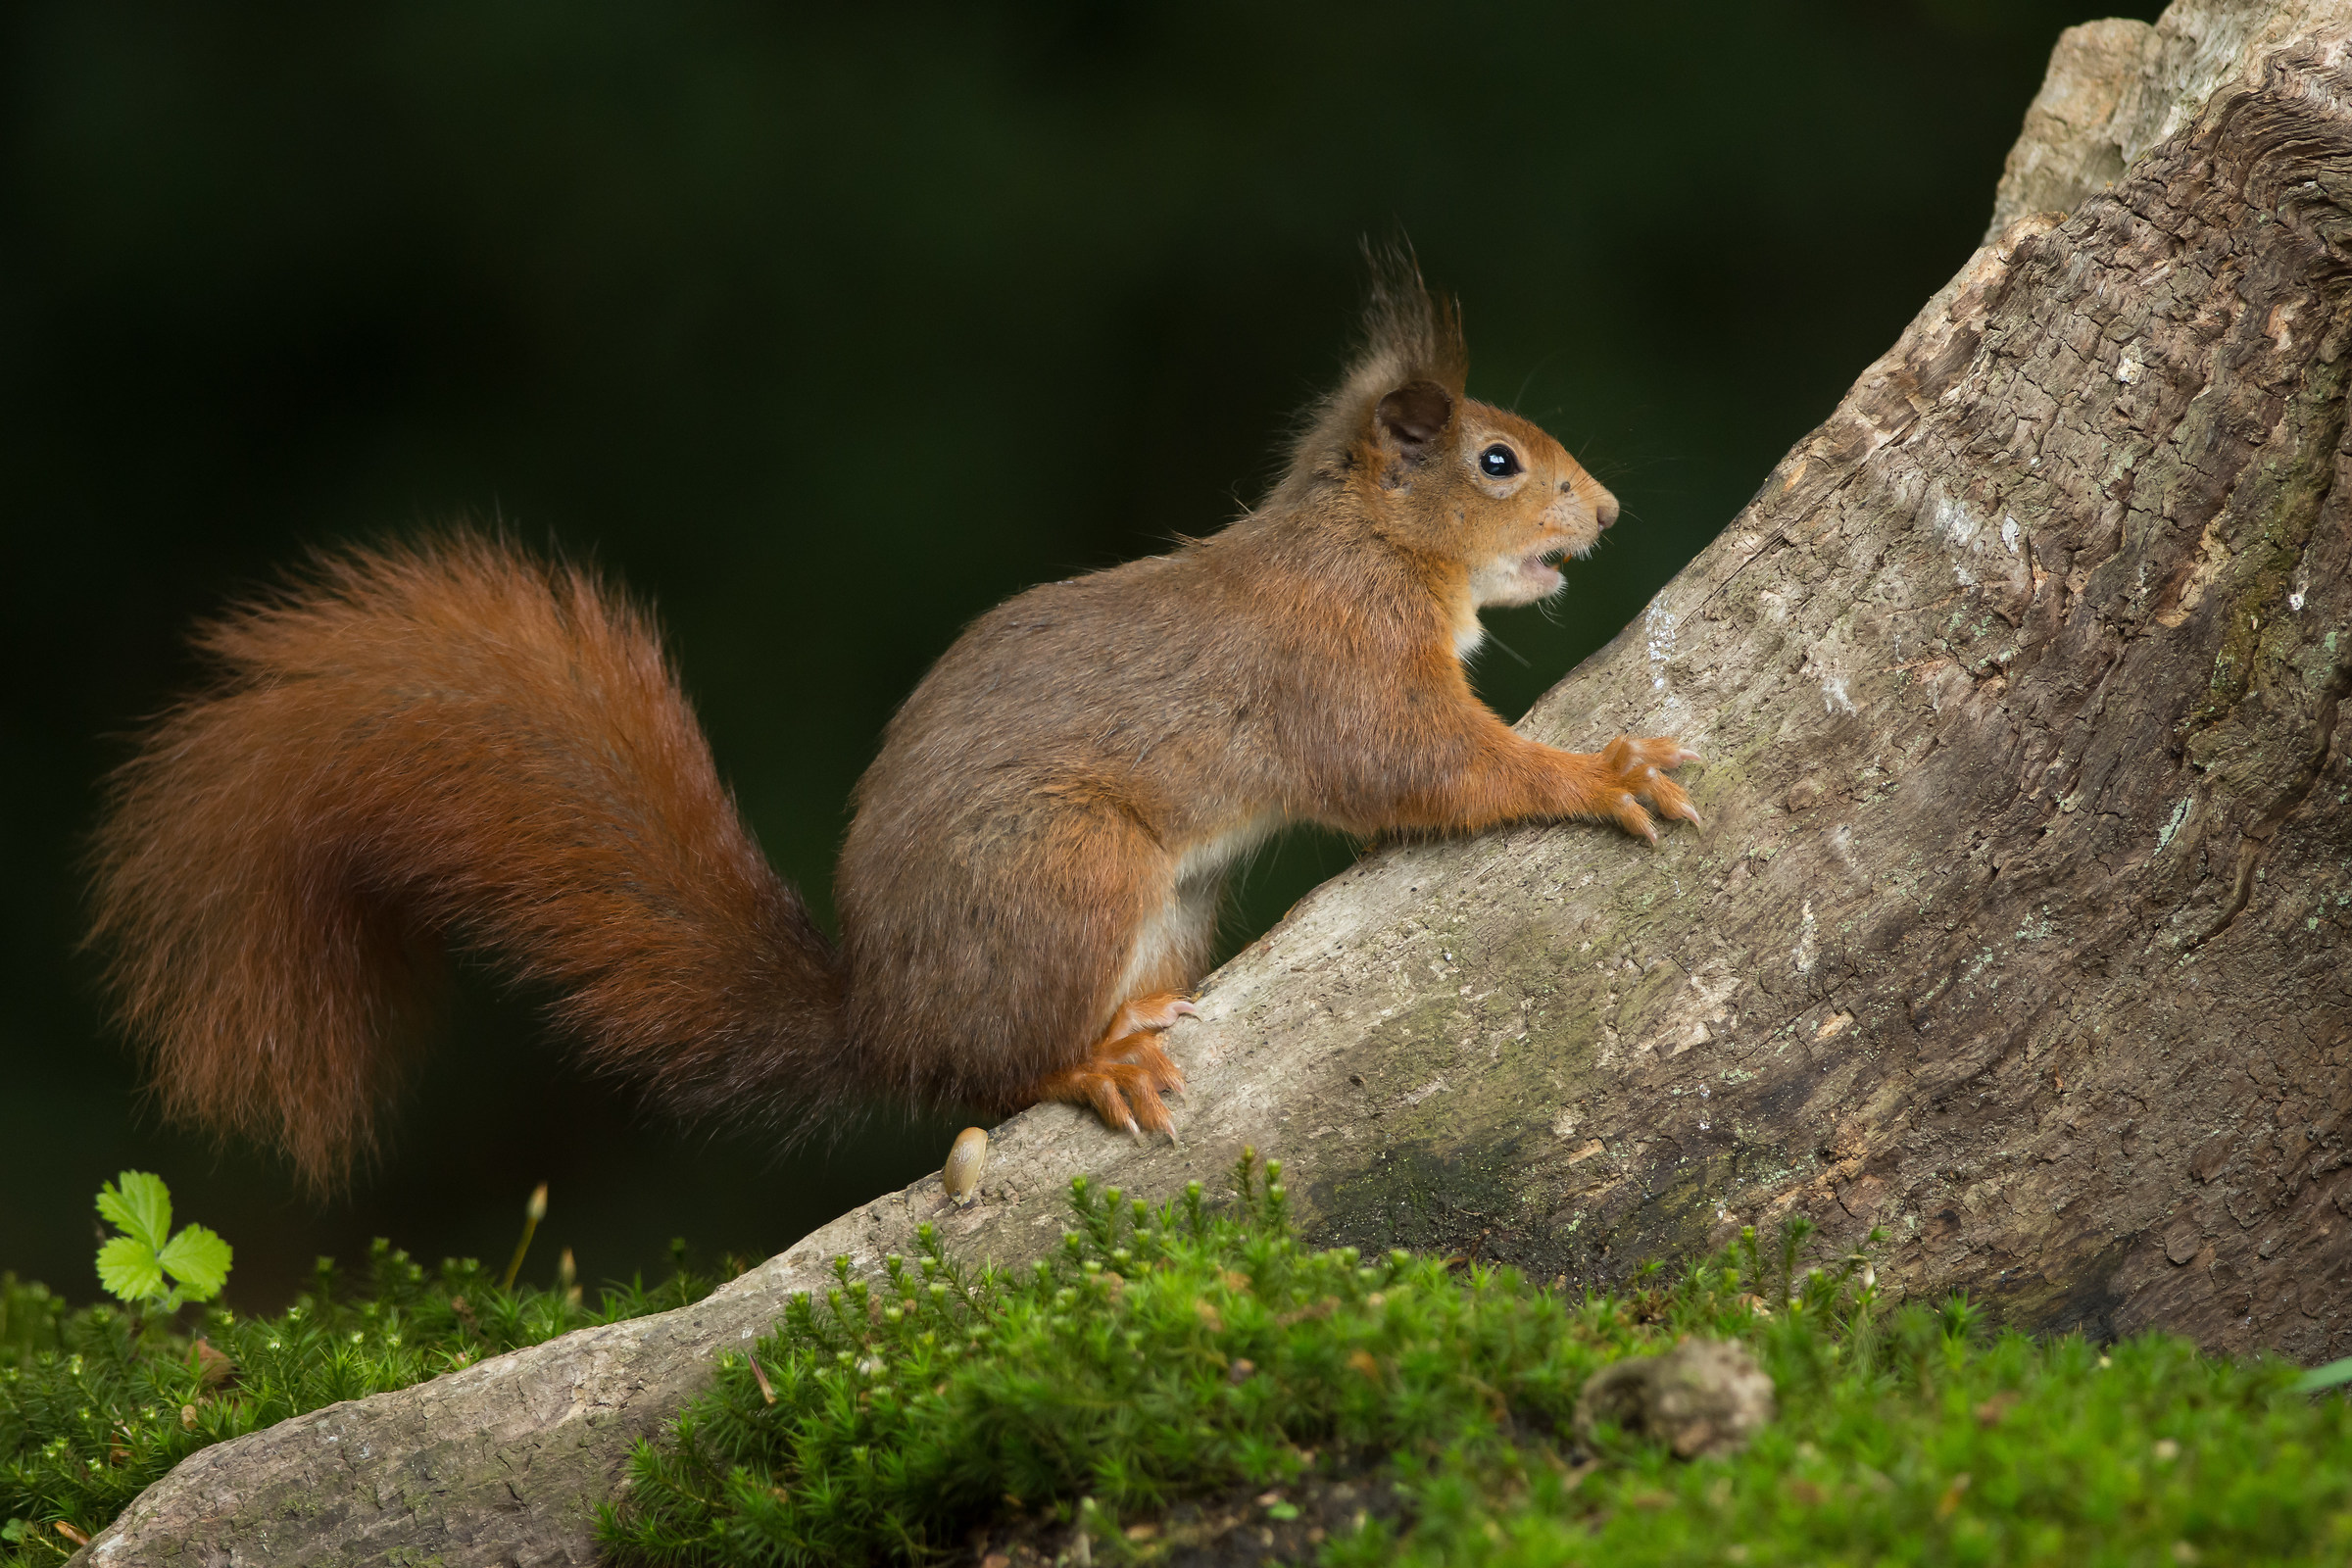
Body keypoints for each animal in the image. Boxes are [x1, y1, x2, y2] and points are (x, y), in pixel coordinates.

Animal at [85, 258, 1700, 1190]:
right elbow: (1437, 768)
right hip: (1064, 871)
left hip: (1158, 905)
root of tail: (885, 1020)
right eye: (1500, 462)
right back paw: (1093, 1064)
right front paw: (1599, 769)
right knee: (997, 1078)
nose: (1613, 511)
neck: (1365, 547)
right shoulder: (1342, 676)